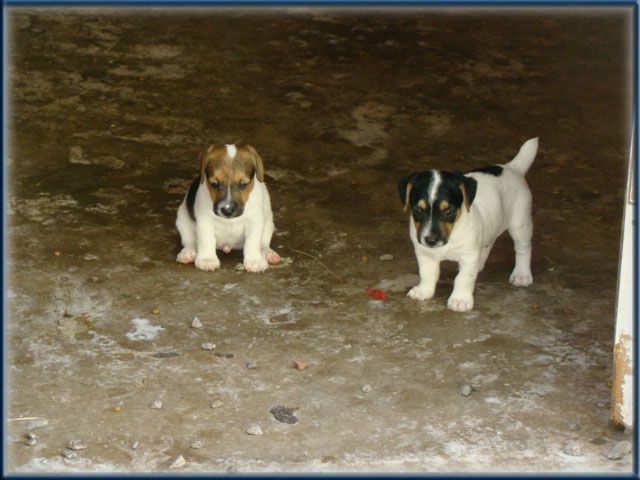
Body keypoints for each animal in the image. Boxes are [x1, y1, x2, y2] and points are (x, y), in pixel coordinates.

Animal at [398, 137, 536, 314]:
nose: (431, 240)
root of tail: (513, 168)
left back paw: (522, 274)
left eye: (448, 211)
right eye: (418, 210)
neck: (452, 233)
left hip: (520, 224)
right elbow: (427, 273)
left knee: (523, 249)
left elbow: (463, 278)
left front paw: (460, 300)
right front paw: (424, 290)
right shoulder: (425, 253)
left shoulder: (469, 255)